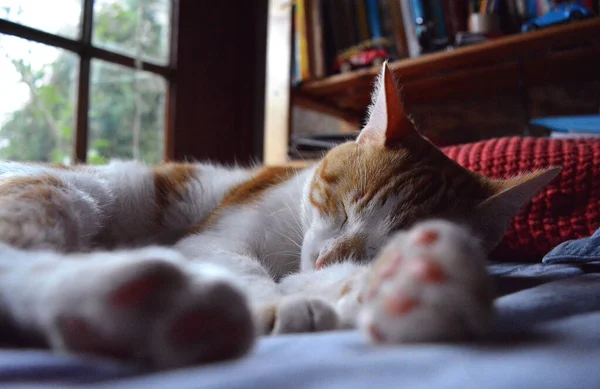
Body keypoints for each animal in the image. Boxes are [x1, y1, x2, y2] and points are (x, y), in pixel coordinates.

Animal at [0, 63, 560, 366]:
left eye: (385, 240)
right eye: (342, 207)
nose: (328, 258)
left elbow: (323, 282)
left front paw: (396, 283)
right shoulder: (211, 239)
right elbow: (246, 268)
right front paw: (274, 305)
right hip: (67, 192)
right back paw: (149, 304)